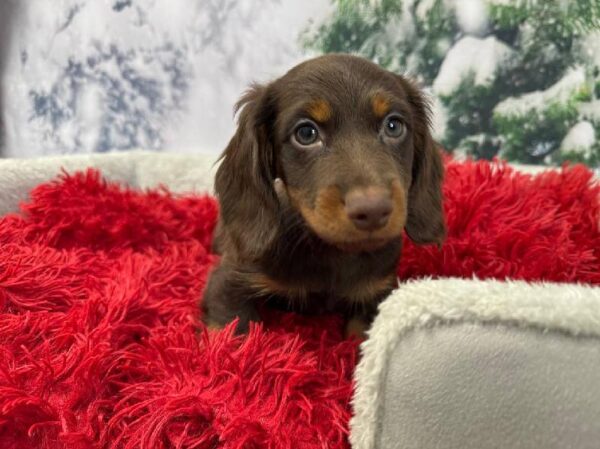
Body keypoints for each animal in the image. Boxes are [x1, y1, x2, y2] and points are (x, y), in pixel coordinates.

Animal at [202, 53, 446, 336]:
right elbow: (236, 329)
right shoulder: (227, 282)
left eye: (394, 126)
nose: (373, 211)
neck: (330, 250)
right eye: (306, 133)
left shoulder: (376, 292)